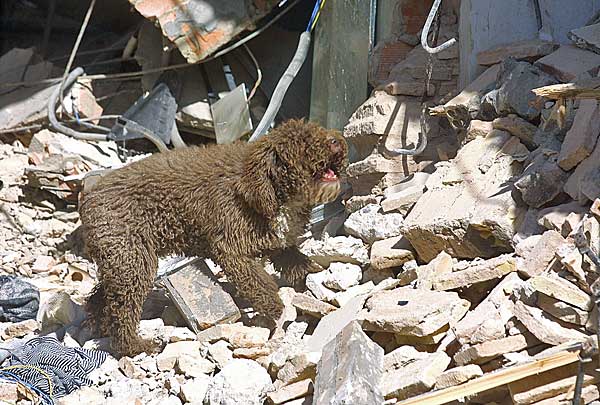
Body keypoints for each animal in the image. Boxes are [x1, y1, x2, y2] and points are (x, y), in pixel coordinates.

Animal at [77, 118, 346, 356]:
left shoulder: (278, 243)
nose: (336, 140)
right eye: (304, 142)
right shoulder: (232, 250)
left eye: (318, 130)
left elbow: (297, 262)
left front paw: (311, 279)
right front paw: (276, 309)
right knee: (122, 311)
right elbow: (260, 284)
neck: (267, 189)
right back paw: (135, 346)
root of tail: (90, 197)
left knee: (104, 297)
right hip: (133, 260)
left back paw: (99, 325)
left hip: (121, 261)